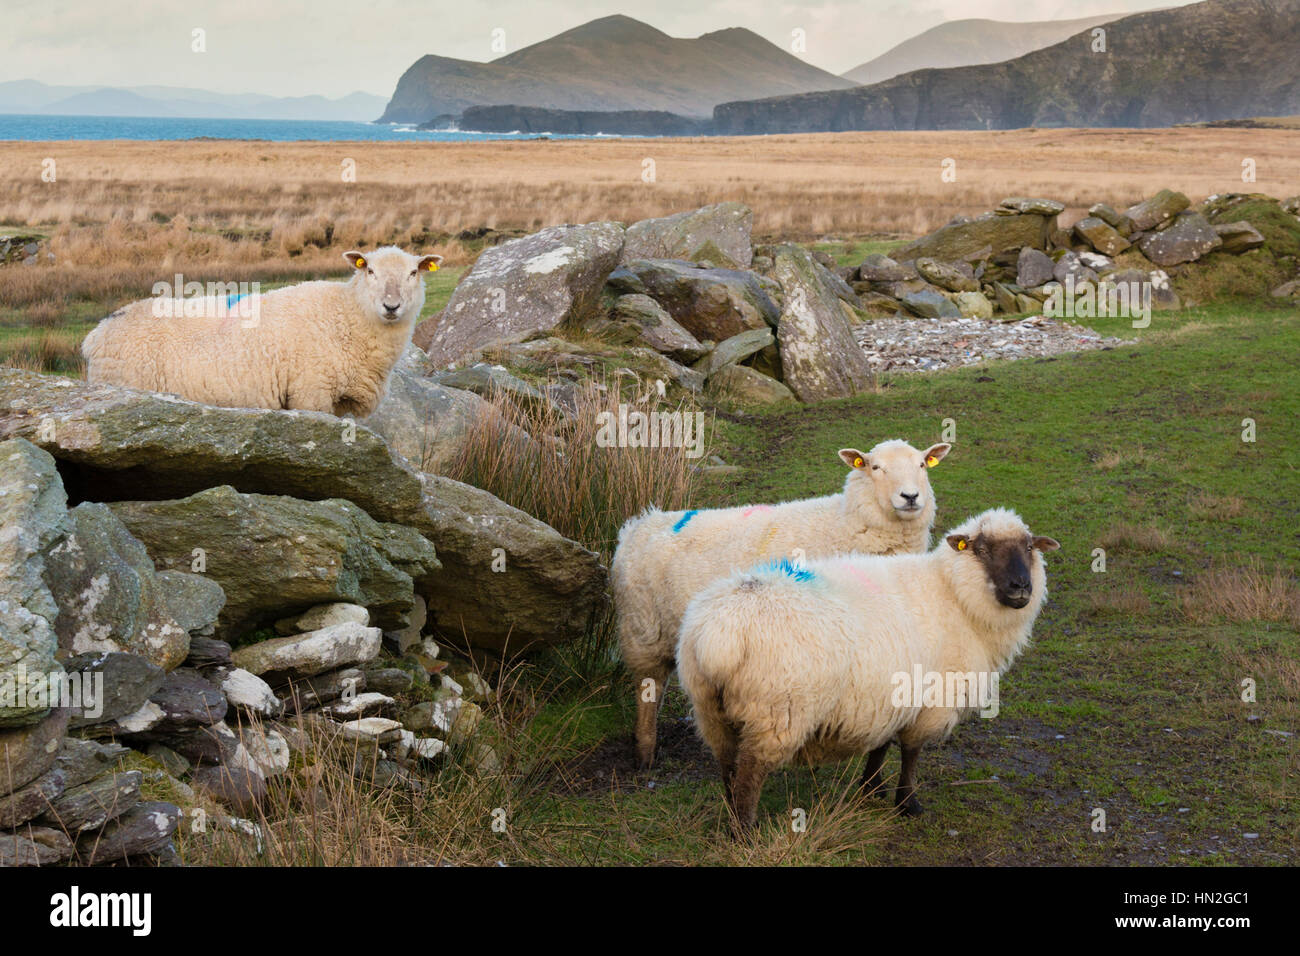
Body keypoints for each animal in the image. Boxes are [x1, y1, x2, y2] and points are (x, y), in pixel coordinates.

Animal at [86, 244, 444, 416]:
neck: (345, 314)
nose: (391, 306)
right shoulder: (310, 394)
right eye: (369, 270)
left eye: (414, 273)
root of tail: (98, 331)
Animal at [613, 439, 951, 770]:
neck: (847, 522)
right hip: (644, 630)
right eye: (875, 467)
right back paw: (644, 754)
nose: (910, 496)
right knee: (649, 690)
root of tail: (641, 524)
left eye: (922, 464)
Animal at [676, 509, 1060, 837]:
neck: (954, 596)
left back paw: (732, 820)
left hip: (712, 711)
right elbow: (911, 752)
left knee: (728, 768)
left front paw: (872, 788)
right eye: (981, 550)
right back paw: (745, 833)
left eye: (1029, 548)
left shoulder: (888, 694)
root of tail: (717, 633)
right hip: (776, 712)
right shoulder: (930, 703)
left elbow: (882, 743)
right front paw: (907, 803)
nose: (1020, 587)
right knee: (749, 775)